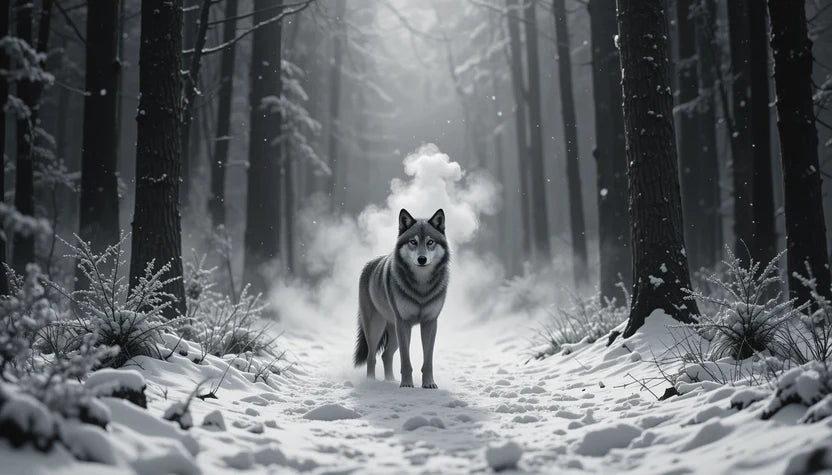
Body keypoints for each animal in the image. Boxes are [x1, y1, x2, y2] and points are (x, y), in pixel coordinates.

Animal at [353, 208, 450, 388]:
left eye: (430, 242)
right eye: (413, 242)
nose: (422, 259)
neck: (421, 287)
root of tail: (369, 264)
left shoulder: (430, 323)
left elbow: (428, 360)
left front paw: (429, 384)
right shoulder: (404, 323)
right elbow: (405, 360)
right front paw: (406, 384)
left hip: (394, 331)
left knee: (386, 355)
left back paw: (390, 380)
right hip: (377, 328)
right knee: (371, 357)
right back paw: (371, 382)